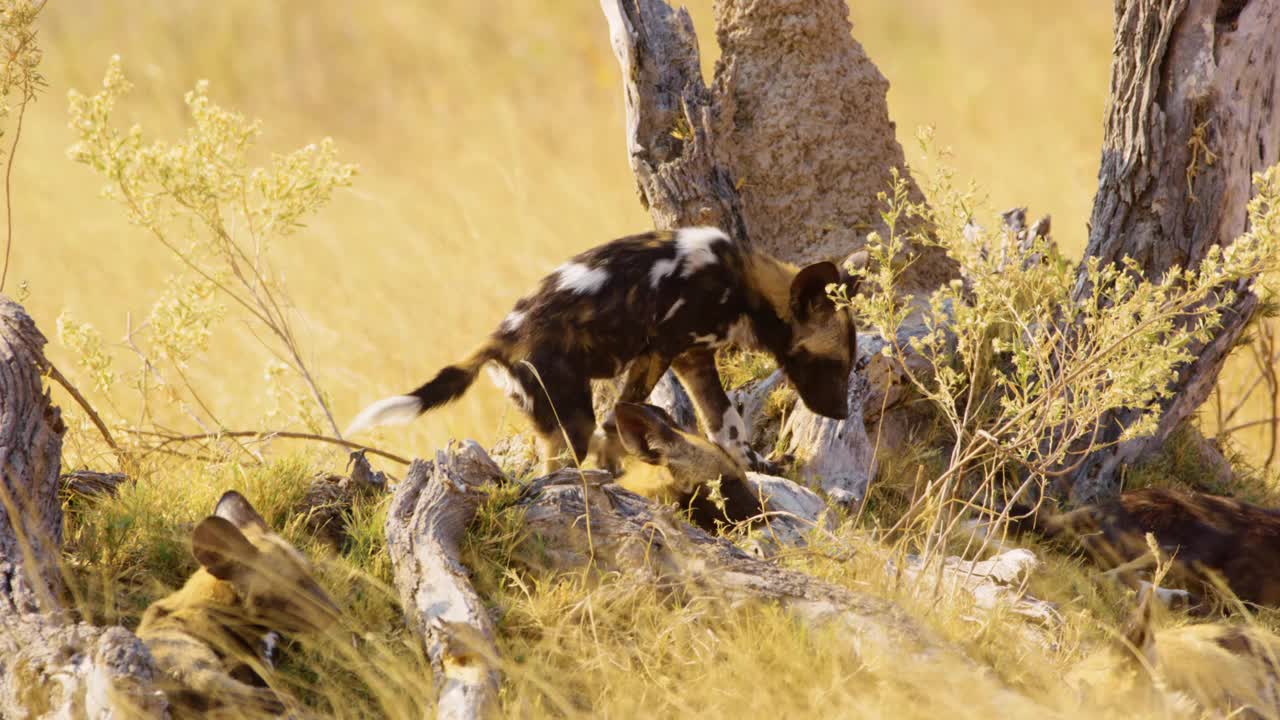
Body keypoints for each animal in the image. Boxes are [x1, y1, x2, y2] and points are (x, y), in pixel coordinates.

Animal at [345, 224, 855, 471]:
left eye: (850, 366)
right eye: (833, 365)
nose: (841, 414)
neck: (743, 283)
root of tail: (499, 340)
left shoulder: (692, 359)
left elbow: (725, 425)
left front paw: (759, 466)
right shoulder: (660, 350)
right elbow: (621, 419)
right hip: (570, 419)